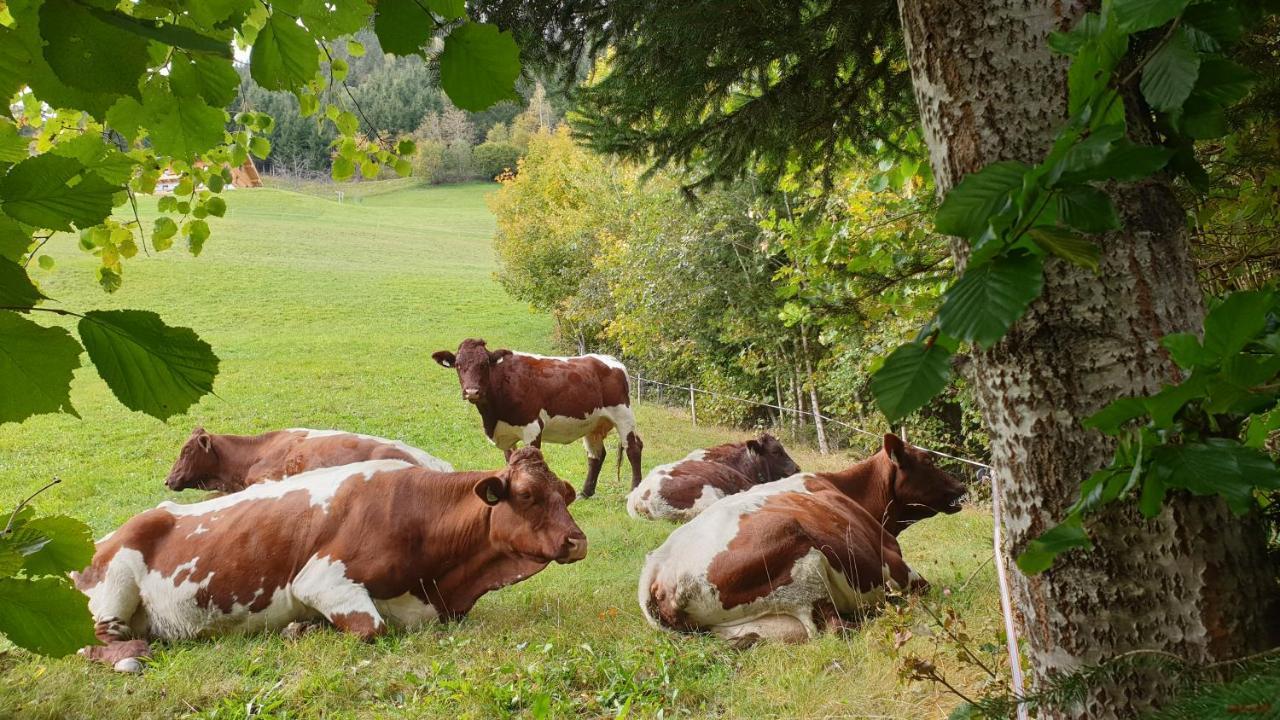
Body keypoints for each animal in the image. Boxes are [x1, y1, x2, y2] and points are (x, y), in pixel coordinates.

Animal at [74, 445, 586, 671]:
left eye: (565, 494)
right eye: (526, 494)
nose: (577, 541)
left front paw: (302, 628)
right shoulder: (320, 578)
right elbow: (372, 628)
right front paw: (300, 631)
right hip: (113, 588)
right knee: (95, 641)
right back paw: (132, 655)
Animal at [435, 338, 645, 497]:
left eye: (484, 364)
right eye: (458, 365)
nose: (472, 391)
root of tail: (609, 359)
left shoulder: (532, 427)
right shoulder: (507, 432)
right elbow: (511, 462)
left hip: (623, 415)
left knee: (633, 448)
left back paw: (633, 490)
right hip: (593, 423)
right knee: (596, 455)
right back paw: (585, 493)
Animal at [637, 430, 962, 645]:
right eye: (928, 461)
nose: (961, 486)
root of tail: (657, 566)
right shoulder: (898, 569)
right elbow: (925, 586)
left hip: (752, 623)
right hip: (804, 562)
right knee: (834, 627)